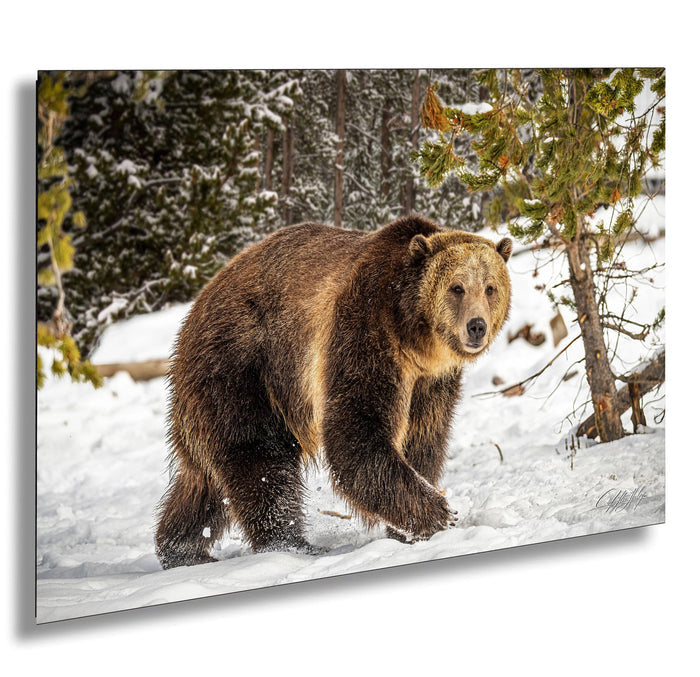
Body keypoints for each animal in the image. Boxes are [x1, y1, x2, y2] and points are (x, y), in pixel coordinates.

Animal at [155, 215, 512, 568]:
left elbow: (423, 437)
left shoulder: (431, 382)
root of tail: (197, 306)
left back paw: (181, 549)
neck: (414, 339)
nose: (476, 326)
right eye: (456, 287)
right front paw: (440, 514)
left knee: (203, 481)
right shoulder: (364, 331)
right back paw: (291, 543)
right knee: (258, 458)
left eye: (490, 288)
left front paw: (410, 527)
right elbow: (356, 432)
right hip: (244, 365)